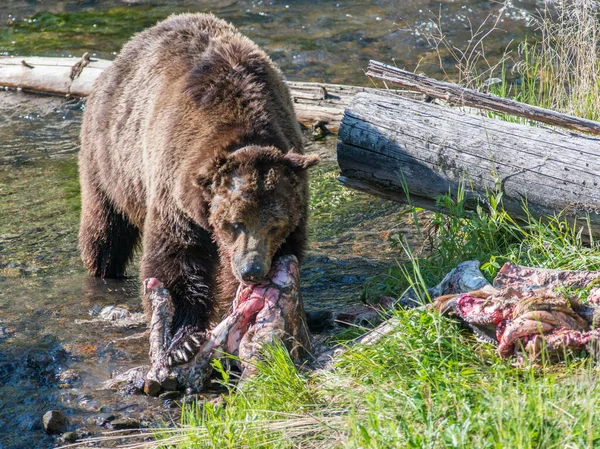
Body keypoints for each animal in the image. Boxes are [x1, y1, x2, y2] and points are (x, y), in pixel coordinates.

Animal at [79, 14, 318, 362]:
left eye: (275, 224)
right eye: (234, 223)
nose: (252, 270)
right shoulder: (174, 190)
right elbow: (175, 258)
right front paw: (182, 336)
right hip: (110, 159)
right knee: (105, 228)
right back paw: (103, 268)